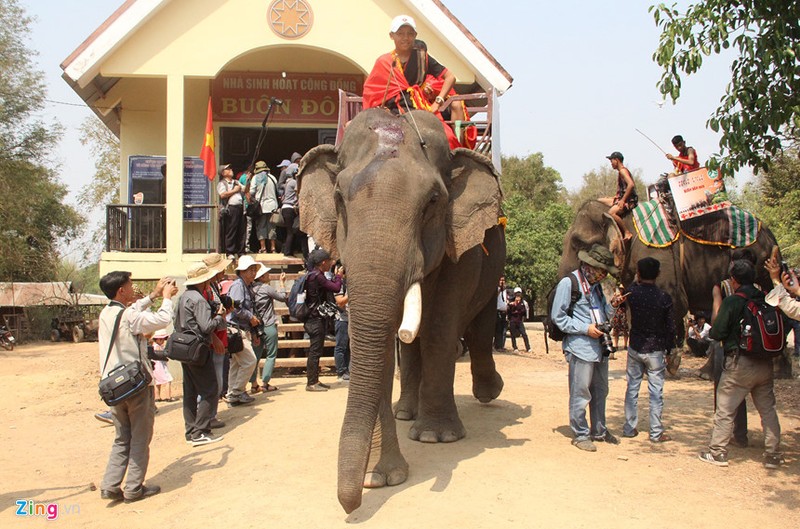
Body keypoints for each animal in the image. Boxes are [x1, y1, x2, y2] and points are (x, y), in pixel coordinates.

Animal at [300, 106, 506, 512]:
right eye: (339, 197)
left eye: (433, 202)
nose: (349, 505)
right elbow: (379, 343)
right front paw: (380, 477)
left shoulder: (461, 247)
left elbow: (441, 325)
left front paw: (436, 438)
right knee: (410, 344)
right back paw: (406, 412)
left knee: (479, 325)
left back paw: (487, 394)